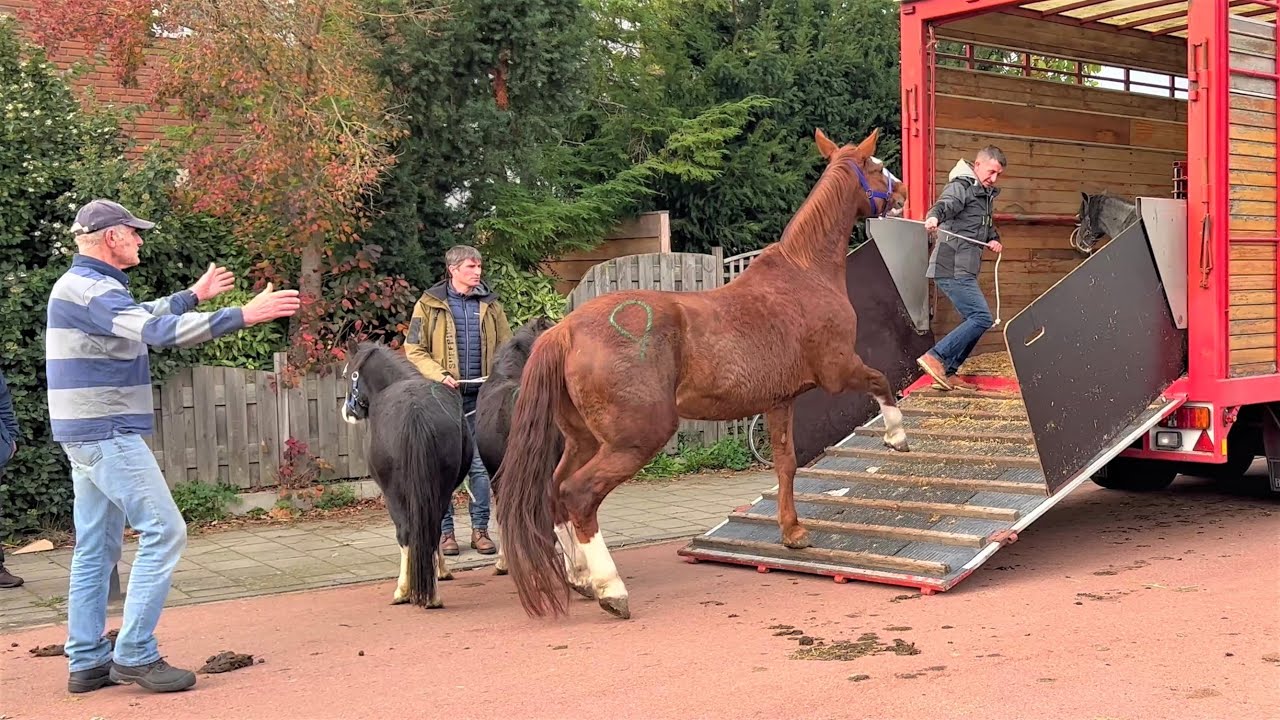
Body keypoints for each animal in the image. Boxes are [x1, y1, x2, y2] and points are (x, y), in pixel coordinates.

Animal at [340, 340, 474, 609]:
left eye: (347, 374)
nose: (348, 412)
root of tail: (415, 413)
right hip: (440, 487)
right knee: (430, 529)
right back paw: (432, 594)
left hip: (394, 492)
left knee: (405, 532)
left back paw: (404, 590)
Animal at [495, 127, 908, 621]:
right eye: (878, 166)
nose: (903, 194)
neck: (804, 273)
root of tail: (565, 331)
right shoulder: (839, 370)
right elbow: (882, 381)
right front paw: (897, 436)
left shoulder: (779, 401)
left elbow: (786, 464)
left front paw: (792, 532)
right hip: (635, 440)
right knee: (579, 495)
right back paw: (610, 588)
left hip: (584, 440)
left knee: (556, 491)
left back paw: (579, 577)